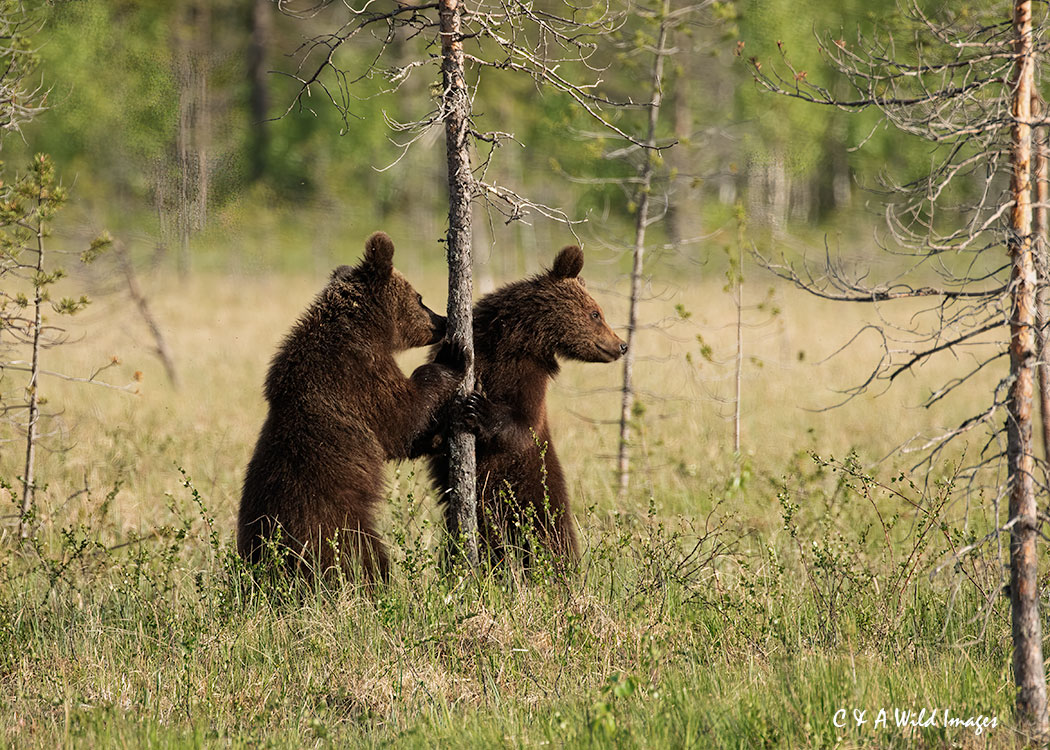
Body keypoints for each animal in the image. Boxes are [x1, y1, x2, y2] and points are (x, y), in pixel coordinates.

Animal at [238, 231, 466, 584]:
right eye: (420, 297)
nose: (441, 321)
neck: (367, 329)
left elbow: (404, 436)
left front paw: (442, 435)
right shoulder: (356, 374)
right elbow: (401, 418)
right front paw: (452, 357)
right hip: (337, 526)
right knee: (364, 559)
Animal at [425, 245, 626, 569]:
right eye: (596, 313)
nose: (621, 345)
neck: (515, 342)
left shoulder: (528, 380)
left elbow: (523, 426)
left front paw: (478, 408)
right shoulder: (485, 352)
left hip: (538, 502)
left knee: (552, 541)